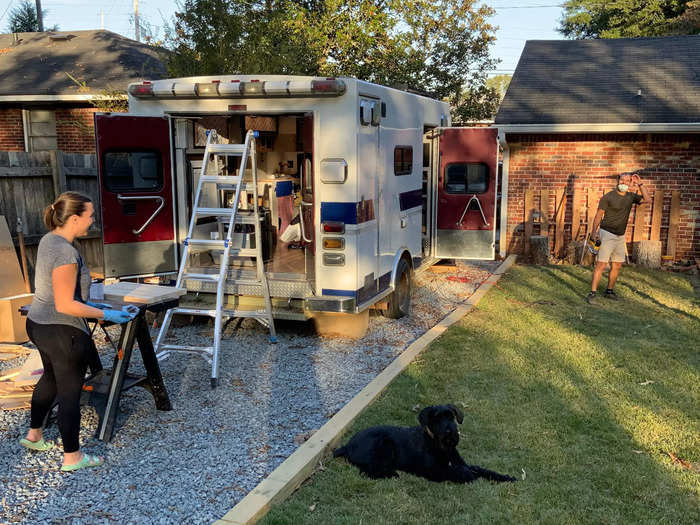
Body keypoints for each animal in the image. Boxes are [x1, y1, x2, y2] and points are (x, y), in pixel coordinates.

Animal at [330, 406, 516, 484]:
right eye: (437, 418)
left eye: (451, 416)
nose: (450, 432)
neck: (442, 448)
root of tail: (347, 445)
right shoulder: (432, 471)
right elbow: (452, 471)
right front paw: (466, 475)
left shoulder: (460, 462)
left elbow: (482, 469)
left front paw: (505, 477)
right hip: (384, 444)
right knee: (367, 471)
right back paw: (392, 474)